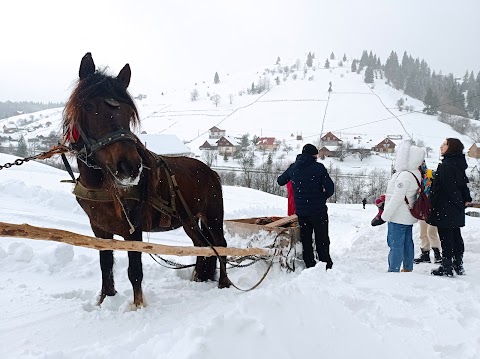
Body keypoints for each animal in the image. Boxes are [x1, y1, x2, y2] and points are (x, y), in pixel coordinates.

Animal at [61, 52, 230, 308]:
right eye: (89, 106)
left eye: (128, 112)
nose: (129, 167)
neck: (102, 185)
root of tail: (210, 171)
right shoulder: (100, 229)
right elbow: (105, 266)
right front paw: (105, 300)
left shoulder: (134, 230)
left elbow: (135, 270)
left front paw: (138, 306)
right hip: (189, 220)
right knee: (202, 245)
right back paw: (197, 279)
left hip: (212, 216)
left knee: (220, 244)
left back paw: (224, 283)